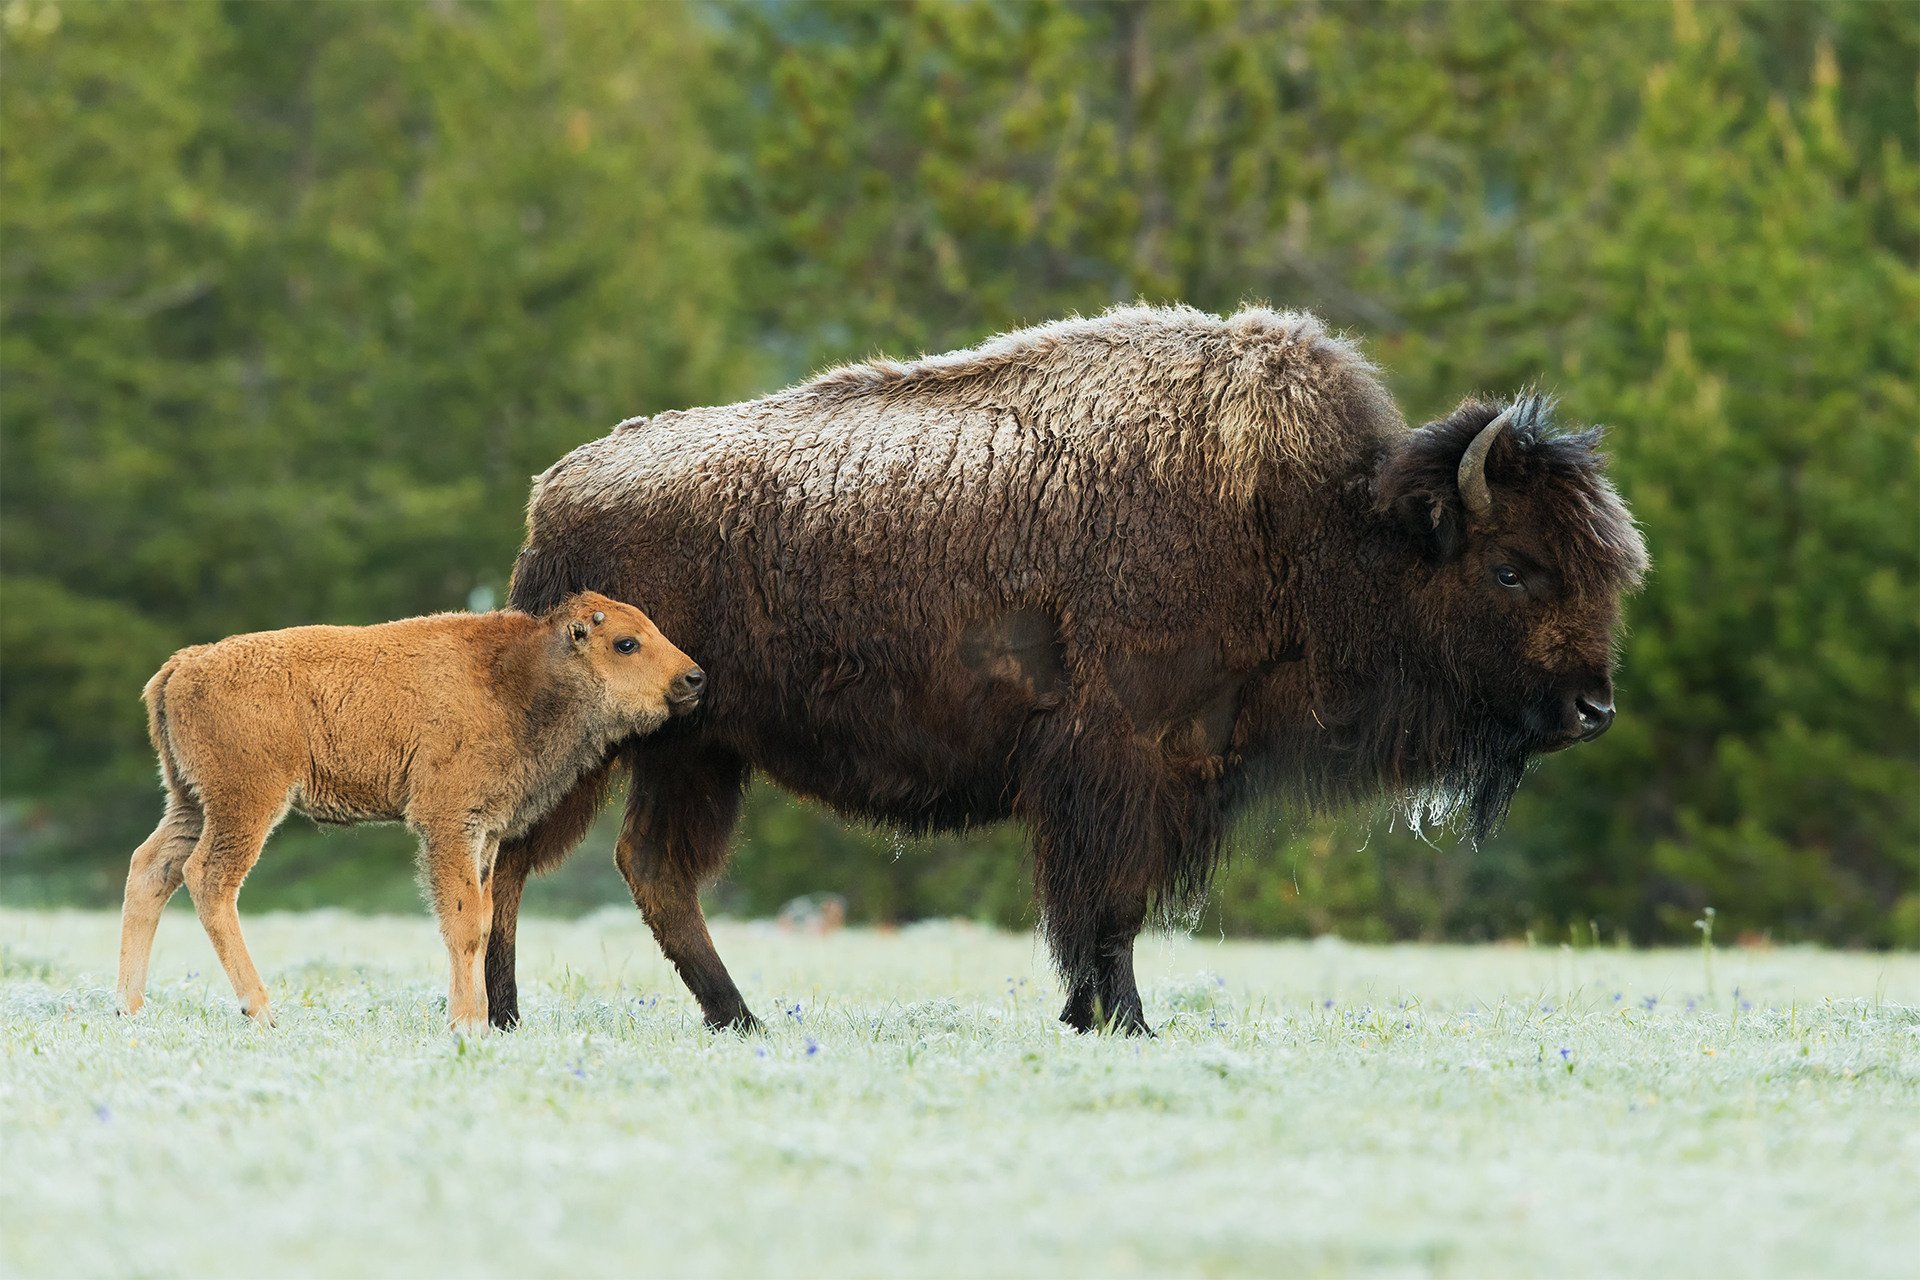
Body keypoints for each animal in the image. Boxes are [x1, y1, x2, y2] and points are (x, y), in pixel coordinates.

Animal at [486, 304, 1646, 1034]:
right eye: (1511, 566)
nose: (1592, 706)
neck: (1318, 526)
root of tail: (557, 488)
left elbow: (1099, 912)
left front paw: (1091, 1014)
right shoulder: (1124, 763)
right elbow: (1109, 907)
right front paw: (1125, 1022)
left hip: (698, 750)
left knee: (655, 872)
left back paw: (740, 1019)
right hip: (614, 746)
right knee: (516, 852)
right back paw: (504, 1014)